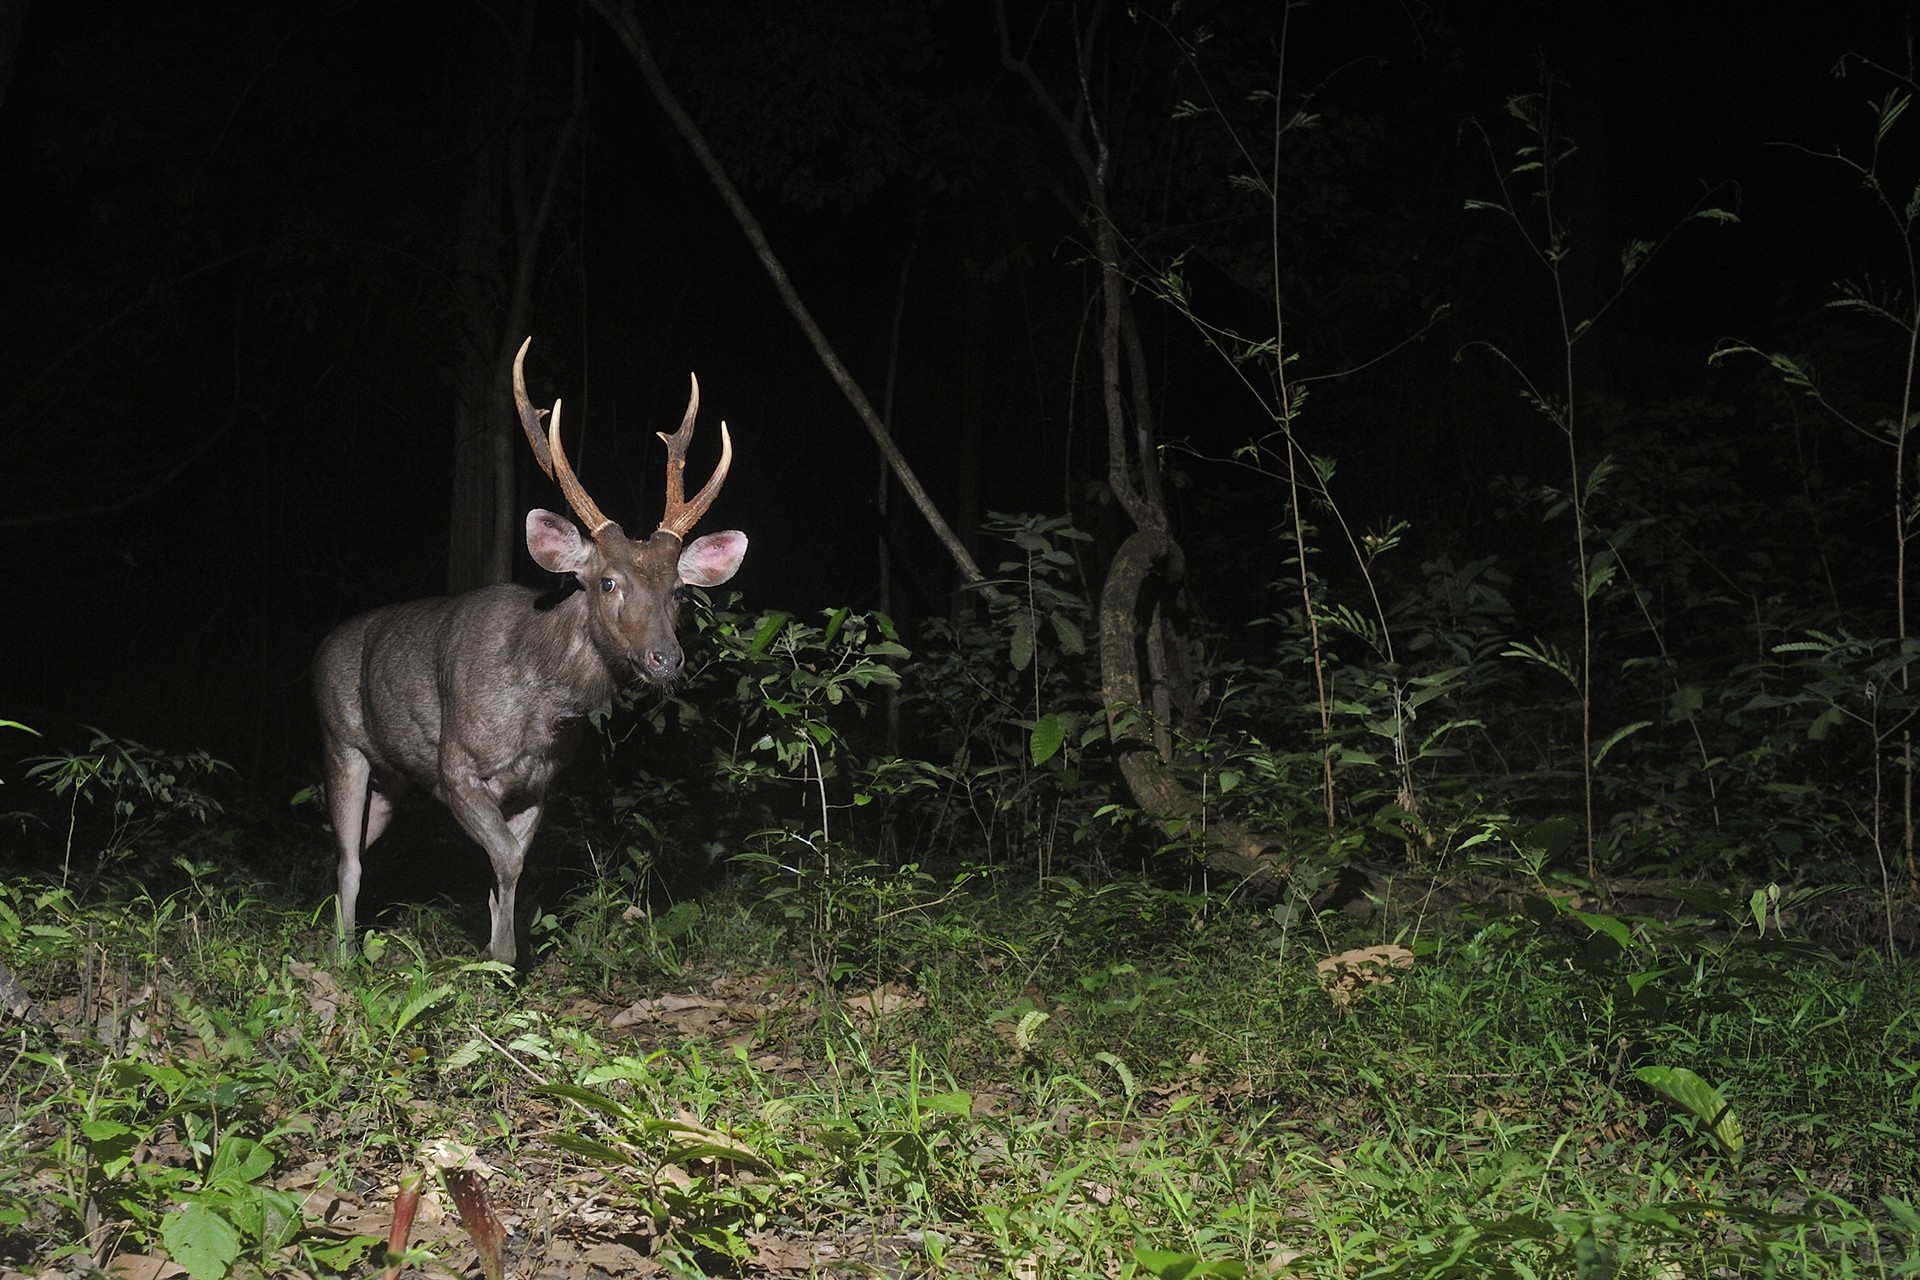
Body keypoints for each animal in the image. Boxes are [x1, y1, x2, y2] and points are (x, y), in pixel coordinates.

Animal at [312, 338, 747, 965]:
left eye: (680, 591)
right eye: (607, 582)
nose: (666, 658)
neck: (539, 704)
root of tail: (320, 649)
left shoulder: (539, 785)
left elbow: (508, 867)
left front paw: (500, 956)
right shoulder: (454, 768)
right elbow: (508, 861)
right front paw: (501, 956)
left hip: (392, 778)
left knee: (355, 848)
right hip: (340, 738)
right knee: (347, 858)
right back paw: (343, 955)